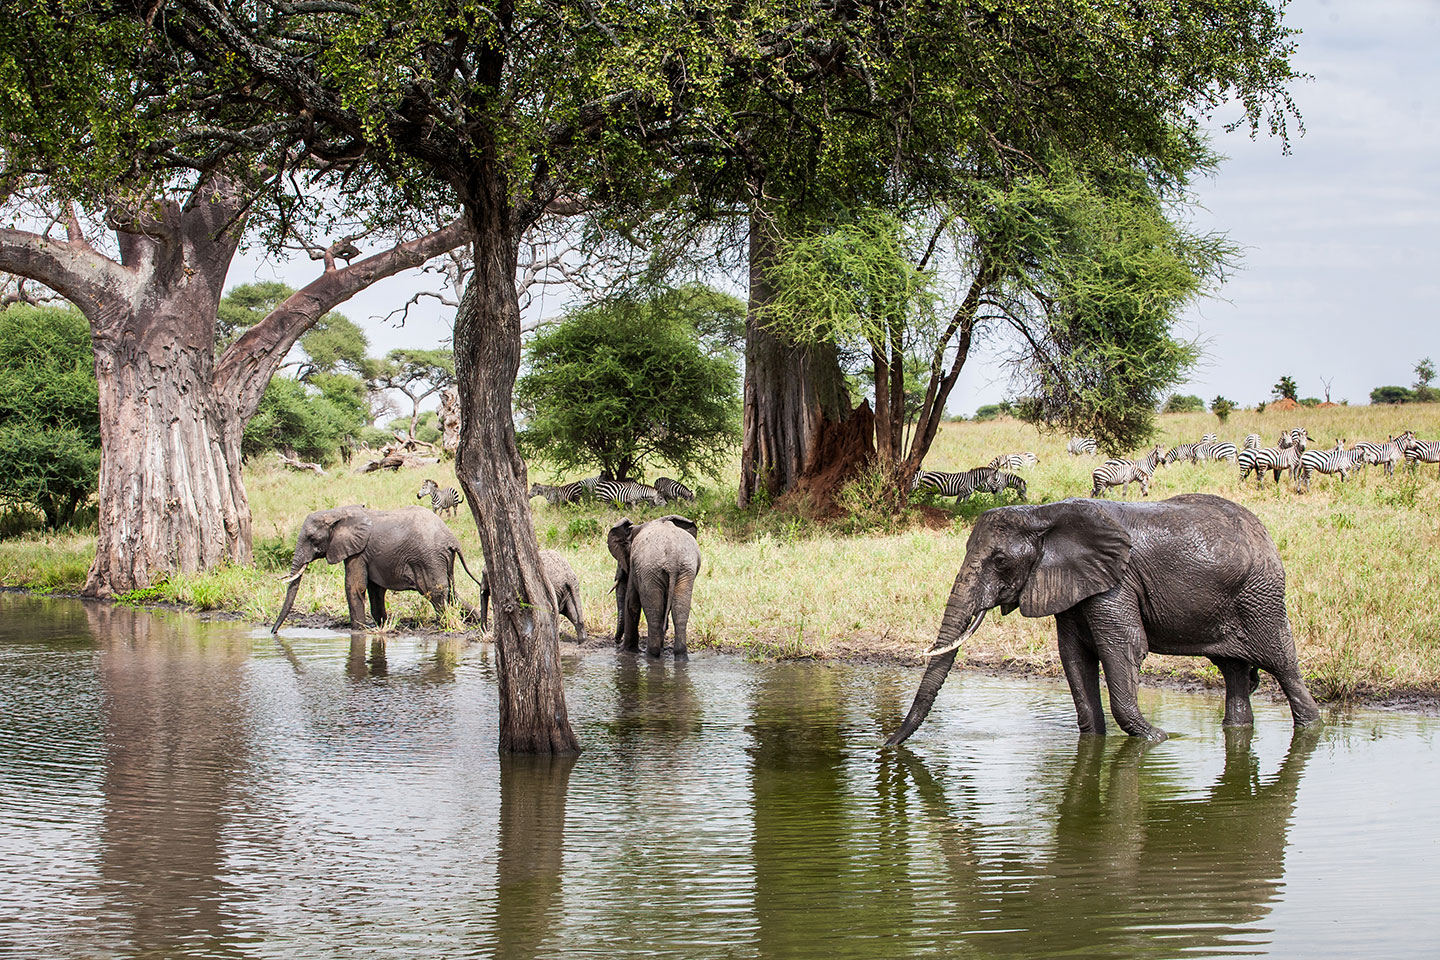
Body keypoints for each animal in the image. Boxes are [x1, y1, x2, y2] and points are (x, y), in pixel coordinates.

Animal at [271, 505, 482, 633]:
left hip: (429, 558)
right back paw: (479, 621)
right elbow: (375, 591)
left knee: (435, 593)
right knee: (452, 594)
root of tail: (452, 539)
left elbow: (354, 588)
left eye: (312, 538)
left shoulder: (358, 552)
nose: (273, 632)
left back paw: (447, 626)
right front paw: (381, 625)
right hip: (441, 559)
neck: (338, 512)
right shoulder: (367, 555)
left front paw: (358, 631)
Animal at [608, 515, 701, 659]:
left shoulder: (635, 568)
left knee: (654, 614)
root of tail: (673, 561)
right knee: (679, 613)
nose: (616, 640)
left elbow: (632, 603)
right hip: (685, 571)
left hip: (649, 570)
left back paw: (651, 655)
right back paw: (679, 656)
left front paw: (626, 652)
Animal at [887, 494, 1321, 745]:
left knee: (1282, 664)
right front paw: (1095, 741)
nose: (886, 746)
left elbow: (1123, 648)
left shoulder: (1118, 581)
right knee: (1233, 670)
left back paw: (1311, 727)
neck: (1043, 514)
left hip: (1261, 596)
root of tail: (1263, 530)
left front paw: (1156, 739)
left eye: (1000, 561)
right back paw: (1238, 729)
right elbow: (1074, 657)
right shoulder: (1072, 582)